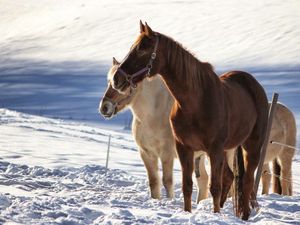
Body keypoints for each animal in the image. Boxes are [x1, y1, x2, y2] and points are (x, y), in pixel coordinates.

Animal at [99, 58, 177, 199]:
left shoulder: (167, 153)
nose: (104, 107)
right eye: (108, 82)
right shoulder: (146, 153)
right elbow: (154, 182)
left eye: (118, 83)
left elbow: (167, 182)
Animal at [110, 21, 270, 220]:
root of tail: (253, 84)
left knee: (246, 181)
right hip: (228, 150)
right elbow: (187, 186)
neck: (196, 102)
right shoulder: (184, 148)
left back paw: (244, 216)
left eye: (142, 49)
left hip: (250, 147)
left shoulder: (213, 149)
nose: (117, 79)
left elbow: (214, 187)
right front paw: (188, 212)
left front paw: (215, 215)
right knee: (230, 177)